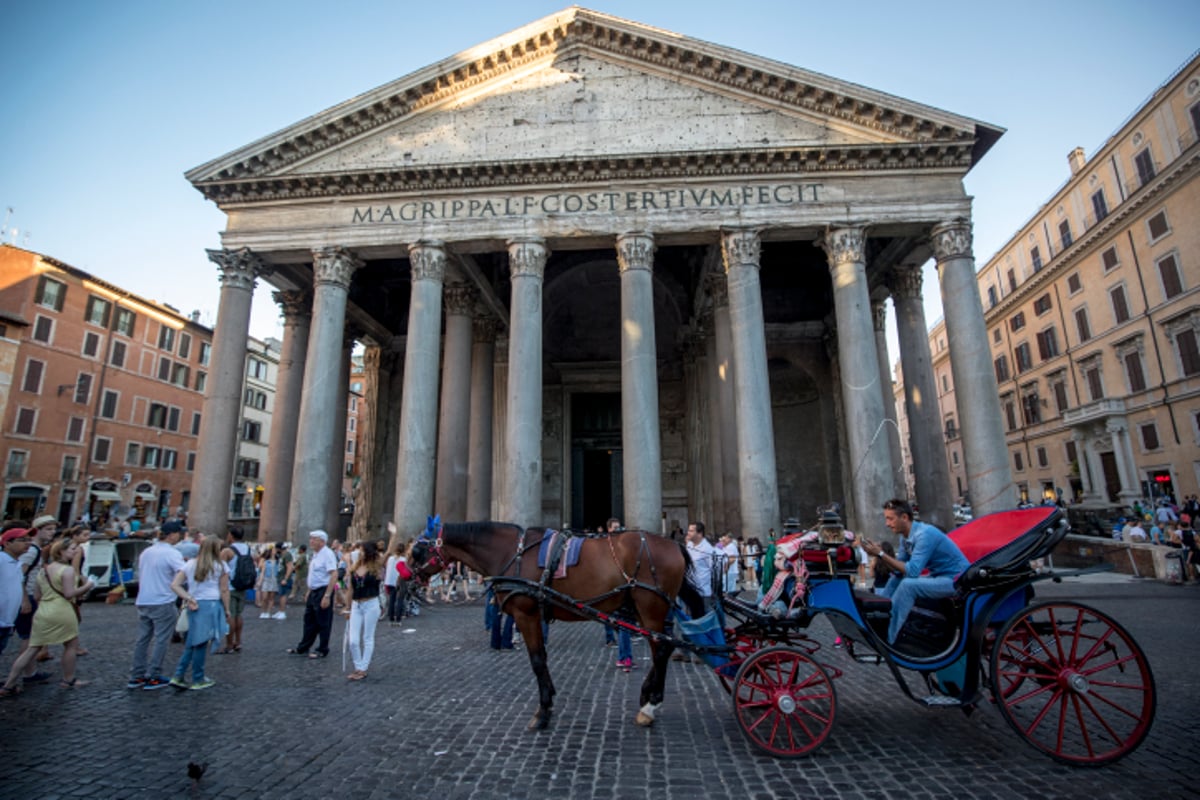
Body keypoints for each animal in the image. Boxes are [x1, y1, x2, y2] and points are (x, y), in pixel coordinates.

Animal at [410, 522, 700, 729]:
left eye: (417, 551)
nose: (408, 579)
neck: (513, 553)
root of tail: (674, 544)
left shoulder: (525, 613)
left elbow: (538, 660)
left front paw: (542, 712)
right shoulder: (534, 615)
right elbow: (542, 657)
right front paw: (548, 703)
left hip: (650, 606)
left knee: (660, 650)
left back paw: (650, 706)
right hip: (645, 608)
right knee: (661, 647)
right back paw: (646, 697)